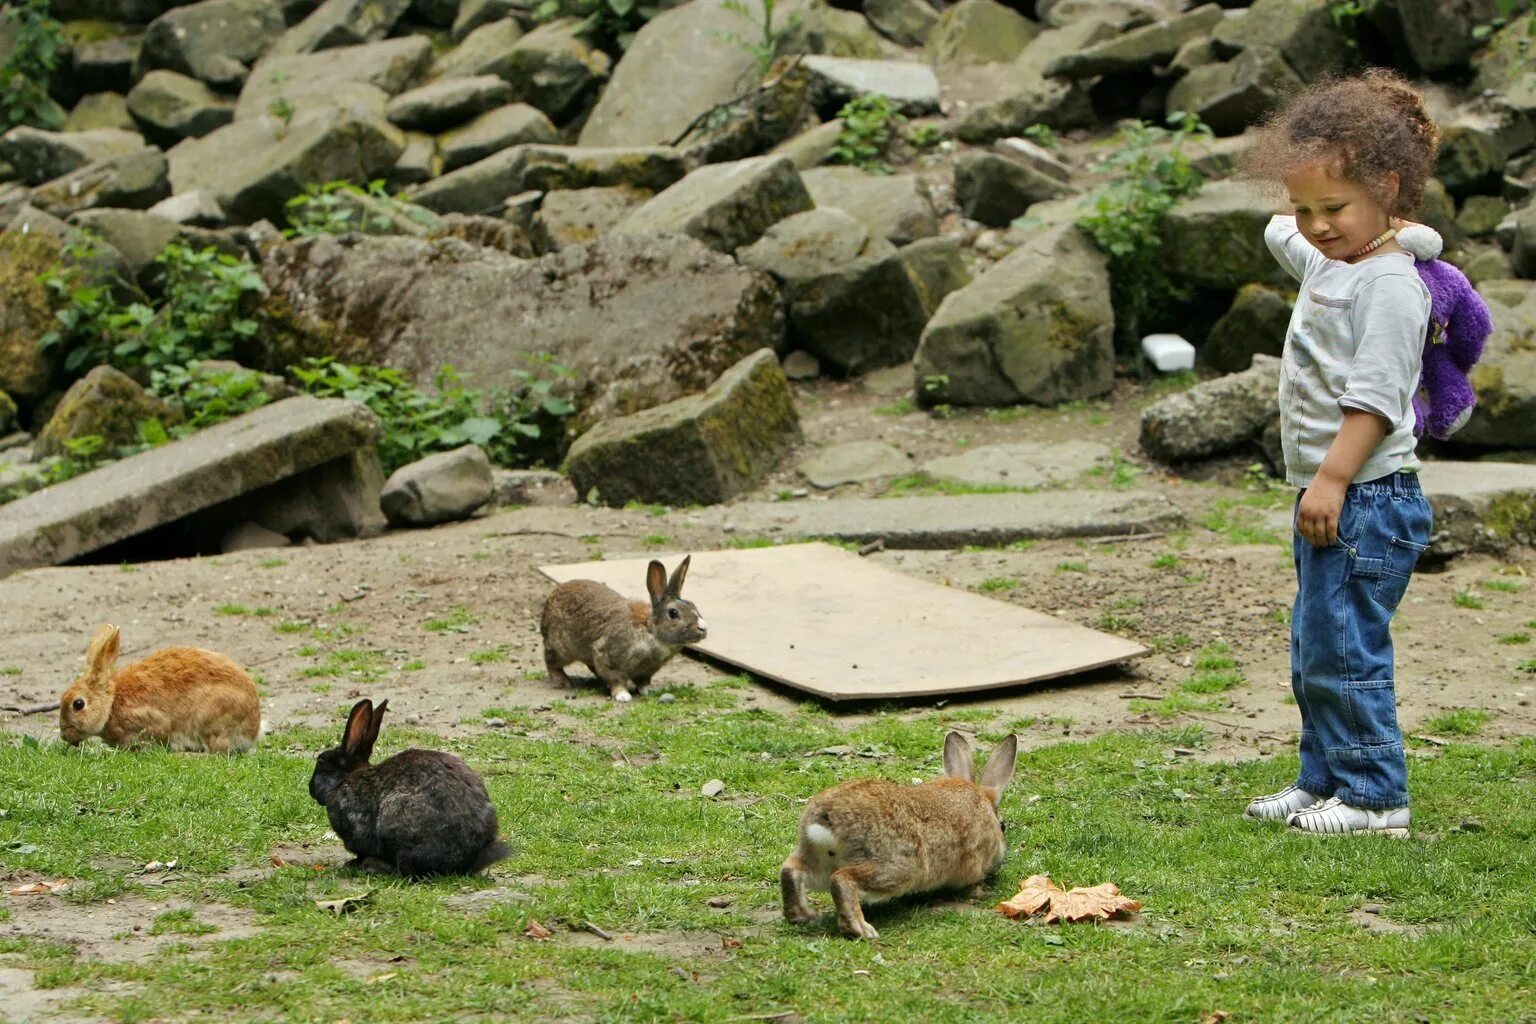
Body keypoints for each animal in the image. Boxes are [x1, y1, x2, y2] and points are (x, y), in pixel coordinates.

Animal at [59, 620, 264, 758]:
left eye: (78, 704)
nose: (64, 735)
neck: (111, 703)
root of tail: (253, 729)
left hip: (211, 715)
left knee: (217, 752)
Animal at [308, 700, 513, 878]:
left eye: (321, 762)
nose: (310, 789)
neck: (344, 780)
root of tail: (469, 856)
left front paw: (354, 863)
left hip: (398, 818)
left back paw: (374, 866)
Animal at [540, 555, 706, 700]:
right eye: (673, 613)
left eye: (693, 605)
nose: (703, 629)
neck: (649, 630)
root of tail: (549, 602)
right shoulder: (606, 656)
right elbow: (615, 679)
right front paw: (622, 695)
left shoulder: (646, 670)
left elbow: (643, 681)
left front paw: (649, 691)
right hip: (560, 649)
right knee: (551, 663)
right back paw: (563, 682)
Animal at [780, 733, 1019, 939]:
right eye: (1003, 826)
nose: (1001, 860)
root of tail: (825, 821)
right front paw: (981, 893)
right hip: (896, 869)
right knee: (842, 879)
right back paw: (861, 929)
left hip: (818, 861)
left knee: (791, 871)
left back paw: (802, 915)